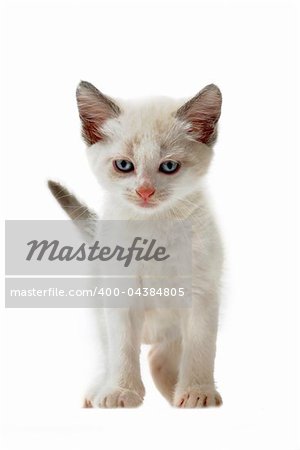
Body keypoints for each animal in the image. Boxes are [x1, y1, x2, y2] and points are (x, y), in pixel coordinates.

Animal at [49, 81, 223, 408]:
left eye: (169, 166)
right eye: (124, 165)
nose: (144, 191)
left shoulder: (202, 292)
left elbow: (200, 347)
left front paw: (198, 391)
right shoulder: (119, 292)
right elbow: (121, 349)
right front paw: (121, 391)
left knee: (160, 353)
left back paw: (174, 393)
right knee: (112, 350)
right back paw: (99, 389)